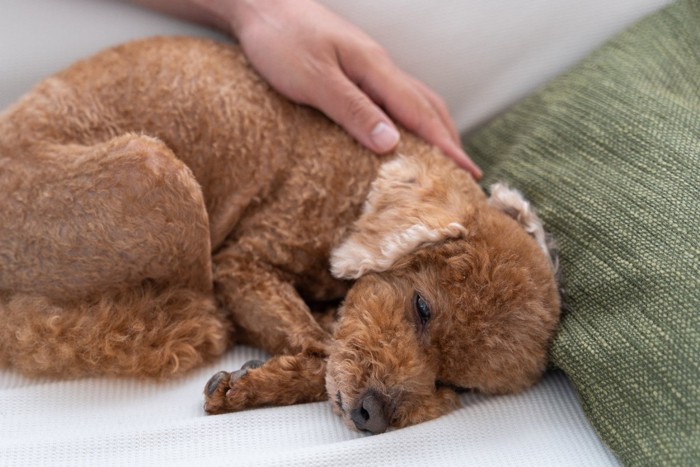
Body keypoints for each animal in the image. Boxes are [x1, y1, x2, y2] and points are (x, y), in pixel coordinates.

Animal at [0, 36, 556, 436]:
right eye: (421, 307)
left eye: (454, 382)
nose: (371, 414)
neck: (356, 192)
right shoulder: (242, 263)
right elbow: (319, 348)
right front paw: (254, 379)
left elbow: (326, 353)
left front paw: (255, 381)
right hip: (155, 171)